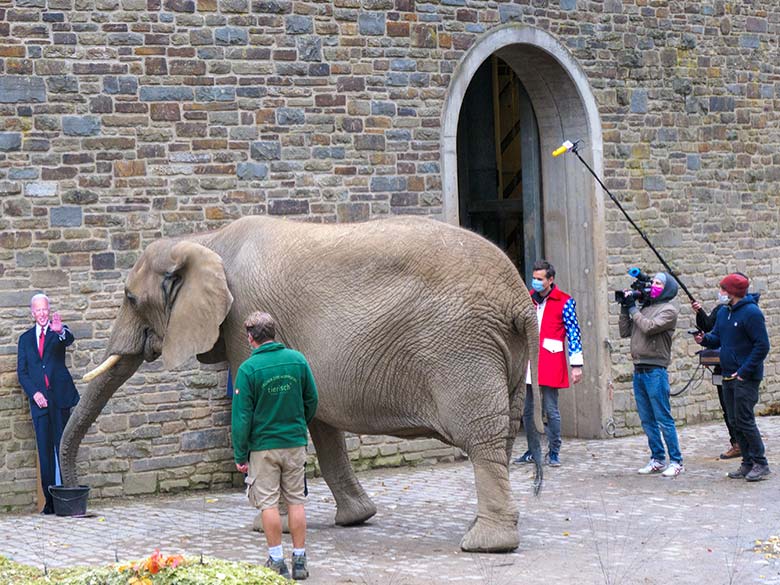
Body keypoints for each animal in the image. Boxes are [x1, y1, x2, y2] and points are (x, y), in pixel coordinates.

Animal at [62, 214, 544, 552]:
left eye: (129, 298)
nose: (77, 503)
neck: (205, 240)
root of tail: (519, 299)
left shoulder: (244, 319)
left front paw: (262, 525)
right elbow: (319, 420)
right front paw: (356, 519)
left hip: (461, 346)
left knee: (482, 437)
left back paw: (485, 544)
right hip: (503, 351)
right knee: (502, 434)